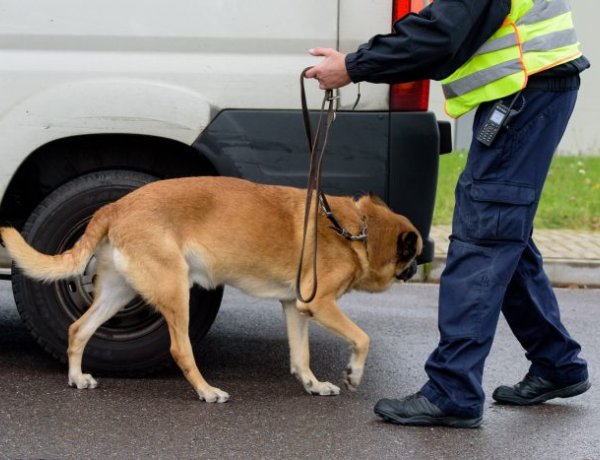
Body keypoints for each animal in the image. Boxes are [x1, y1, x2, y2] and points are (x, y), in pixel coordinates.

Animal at [1, 176, 422, 402]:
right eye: (413, 254)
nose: (421, 266)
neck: (357, 226)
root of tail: (116, 206)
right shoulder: (320, 305)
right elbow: (363, 338)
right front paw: (354, 373)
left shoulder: (296, 307)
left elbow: (300, 356)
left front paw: (312, 384)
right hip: (175, 291)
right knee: (180, 349)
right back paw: (206, 390)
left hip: (119, 293)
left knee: (78, 330)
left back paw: (77, 377)